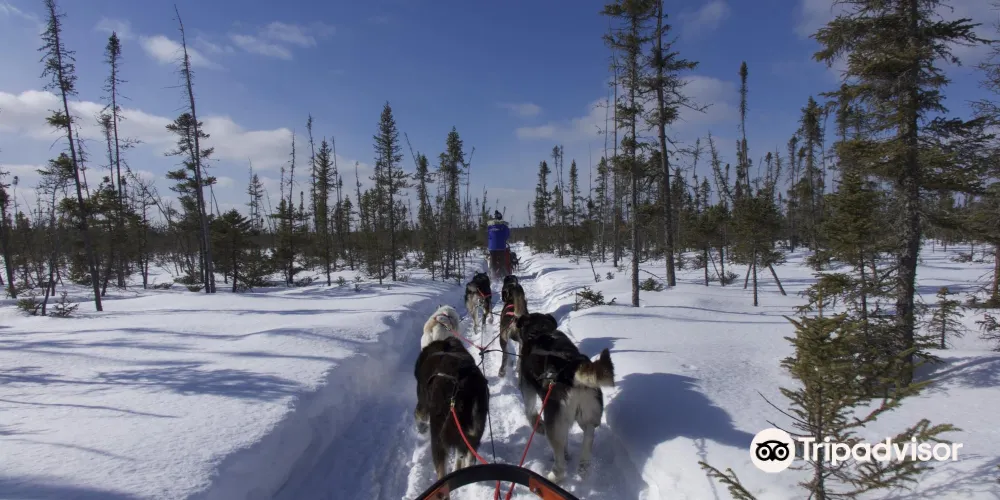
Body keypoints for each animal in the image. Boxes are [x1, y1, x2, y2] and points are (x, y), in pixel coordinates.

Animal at [413, 336, 490, 489]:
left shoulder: (423, 404)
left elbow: (418, 415)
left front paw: (421, 428)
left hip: (438, 436)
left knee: (441, 471)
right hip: (472, 433)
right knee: (468, 458)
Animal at [514, 312, 615, 483]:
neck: (540, 331)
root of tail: (571, 370)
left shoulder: (527, 387)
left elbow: (530, 412)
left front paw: (537, 426)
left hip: (553, 423)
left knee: (560, 466)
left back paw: (551, 477)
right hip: (588, 417)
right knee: (588, 437)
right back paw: (583, 467)